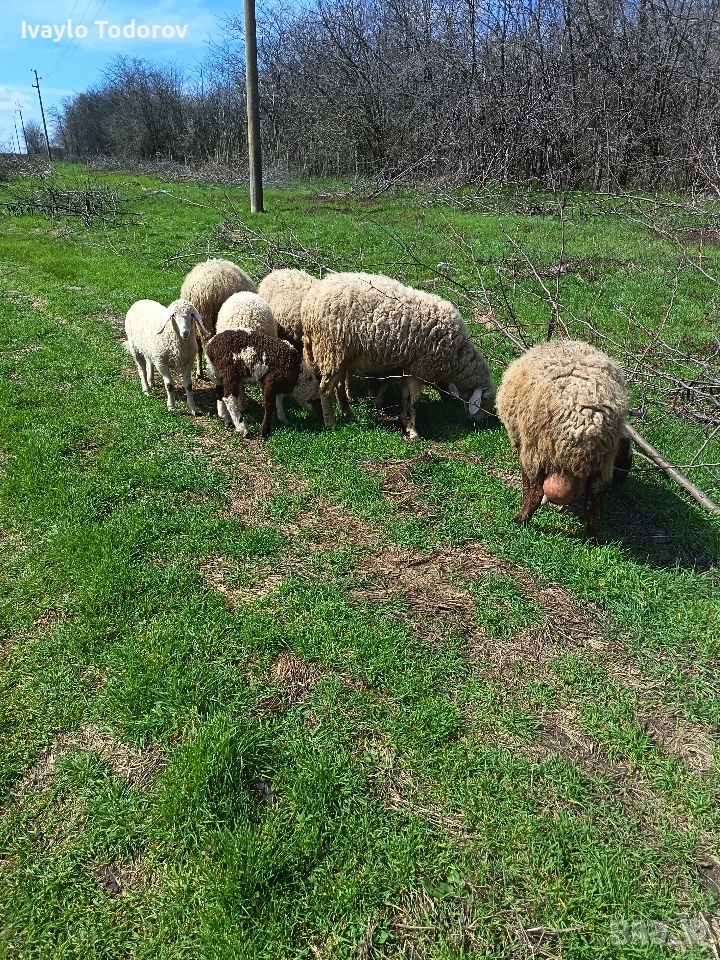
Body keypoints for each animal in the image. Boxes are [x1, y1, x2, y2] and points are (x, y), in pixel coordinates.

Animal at [300, 272, 496, 439]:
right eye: (484, 400)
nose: (478, 421)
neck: (455, 355)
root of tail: (310, 302)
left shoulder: (407, 368)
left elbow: (405, 396)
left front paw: (403, 420)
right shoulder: (419, 368)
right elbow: (415, 400)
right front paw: (413, 431)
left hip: (341, 355)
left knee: (337, 386)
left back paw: (348, 413)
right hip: (332, 349)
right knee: (325, 388)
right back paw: (330, 423)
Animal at [495, 338, 633, 544]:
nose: (621, 480)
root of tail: (588, 421)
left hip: (535, 447)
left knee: (535, 492)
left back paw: (520, 520)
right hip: (595, 464)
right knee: (591, 504)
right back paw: (591, 540)